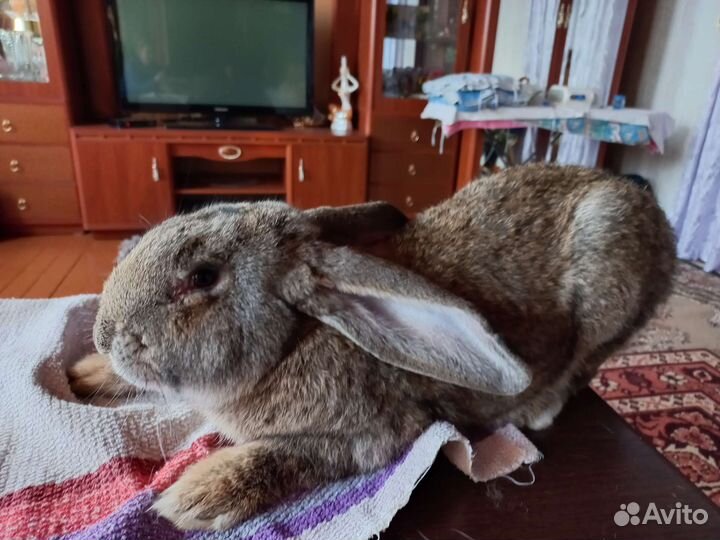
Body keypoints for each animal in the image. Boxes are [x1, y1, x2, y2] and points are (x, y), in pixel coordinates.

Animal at [68, 163, 675, 530]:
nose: (105, 333)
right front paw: (86, 373)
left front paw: (193, 497)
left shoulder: (373, 435)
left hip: (606, 283)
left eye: (202, 277)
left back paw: (539, 407)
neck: (295, 339)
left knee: (584, 361)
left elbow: (288, 455)